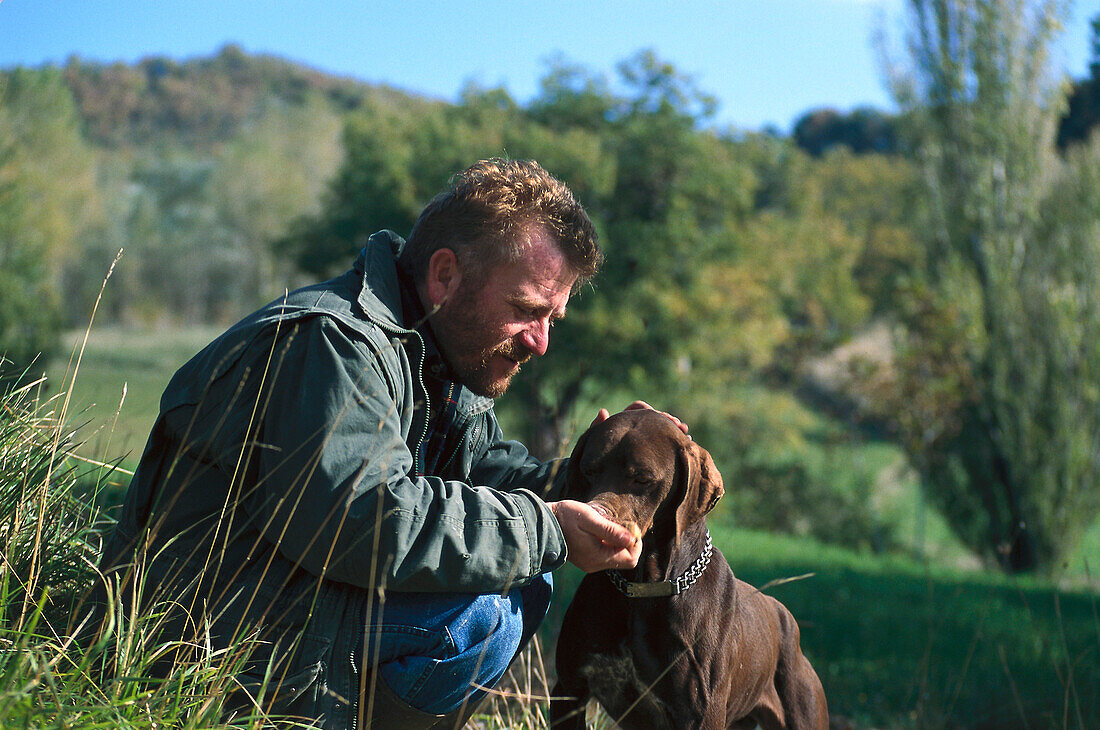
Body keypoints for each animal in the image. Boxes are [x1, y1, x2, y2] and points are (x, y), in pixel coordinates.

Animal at [550, 411, 827, 729]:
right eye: (589, 470)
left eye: (642, 478)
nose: (594, 516)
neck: (644, 589)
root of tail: (787, 621)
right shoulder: (569, 691)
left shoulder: (700, 714)